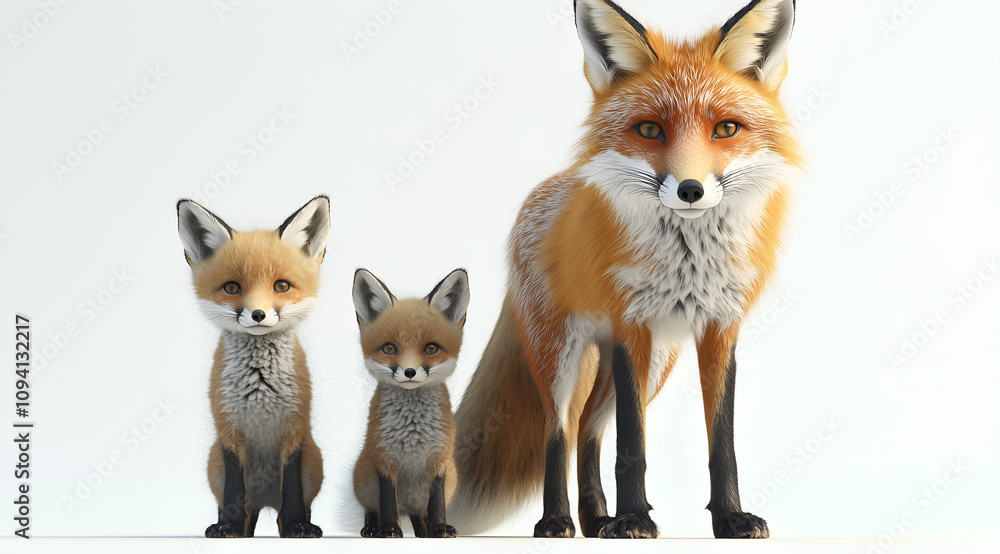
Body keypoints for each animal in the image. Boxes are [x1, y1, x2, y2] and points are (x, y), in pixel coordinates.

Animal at [176, 195, 331, 538]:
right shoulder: (228, 429)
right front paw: (230, 528)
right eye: (232, 288)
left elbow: (293, 491)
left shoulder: (294, 428)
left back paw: (304, 524)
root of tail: (265, 501)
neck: (260, 383)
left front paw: (295, 526)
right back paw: (225, 524)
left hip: (314, 463)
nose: (258, 314)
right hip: (214, 464)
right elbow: (234, 491)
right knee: (238, 507)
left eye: (282, 286)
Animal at [351, 268, 470, 538]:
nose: (409, 372)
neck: (413, 429)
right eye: (389, 348)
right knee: (372, 508)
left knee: (420, 518)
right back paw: (372, 528)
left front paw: (439, 528)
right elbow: (387, 502)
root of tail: (409, 506)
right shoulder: (384, 458)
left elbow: (437, 502)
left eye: (431, 348)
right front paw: (390, 529)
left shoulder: (439, 458)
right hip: (364, 480)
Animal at [449, 0, 801, 540]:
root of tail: (544, 189)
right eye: (650, 129)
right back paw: (559, 520)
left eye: (726, 129)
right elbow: (632, 446)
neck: (690, 263)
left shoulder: (720, 330)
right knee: (560, 431)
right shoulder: (630, 327)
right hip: (561, 355)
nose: (691, 190)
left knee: (589, 430)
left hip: (656, 363)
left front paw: (730, 518)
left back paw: (597, 519)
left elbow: (722, 445)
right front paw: (635, 518)